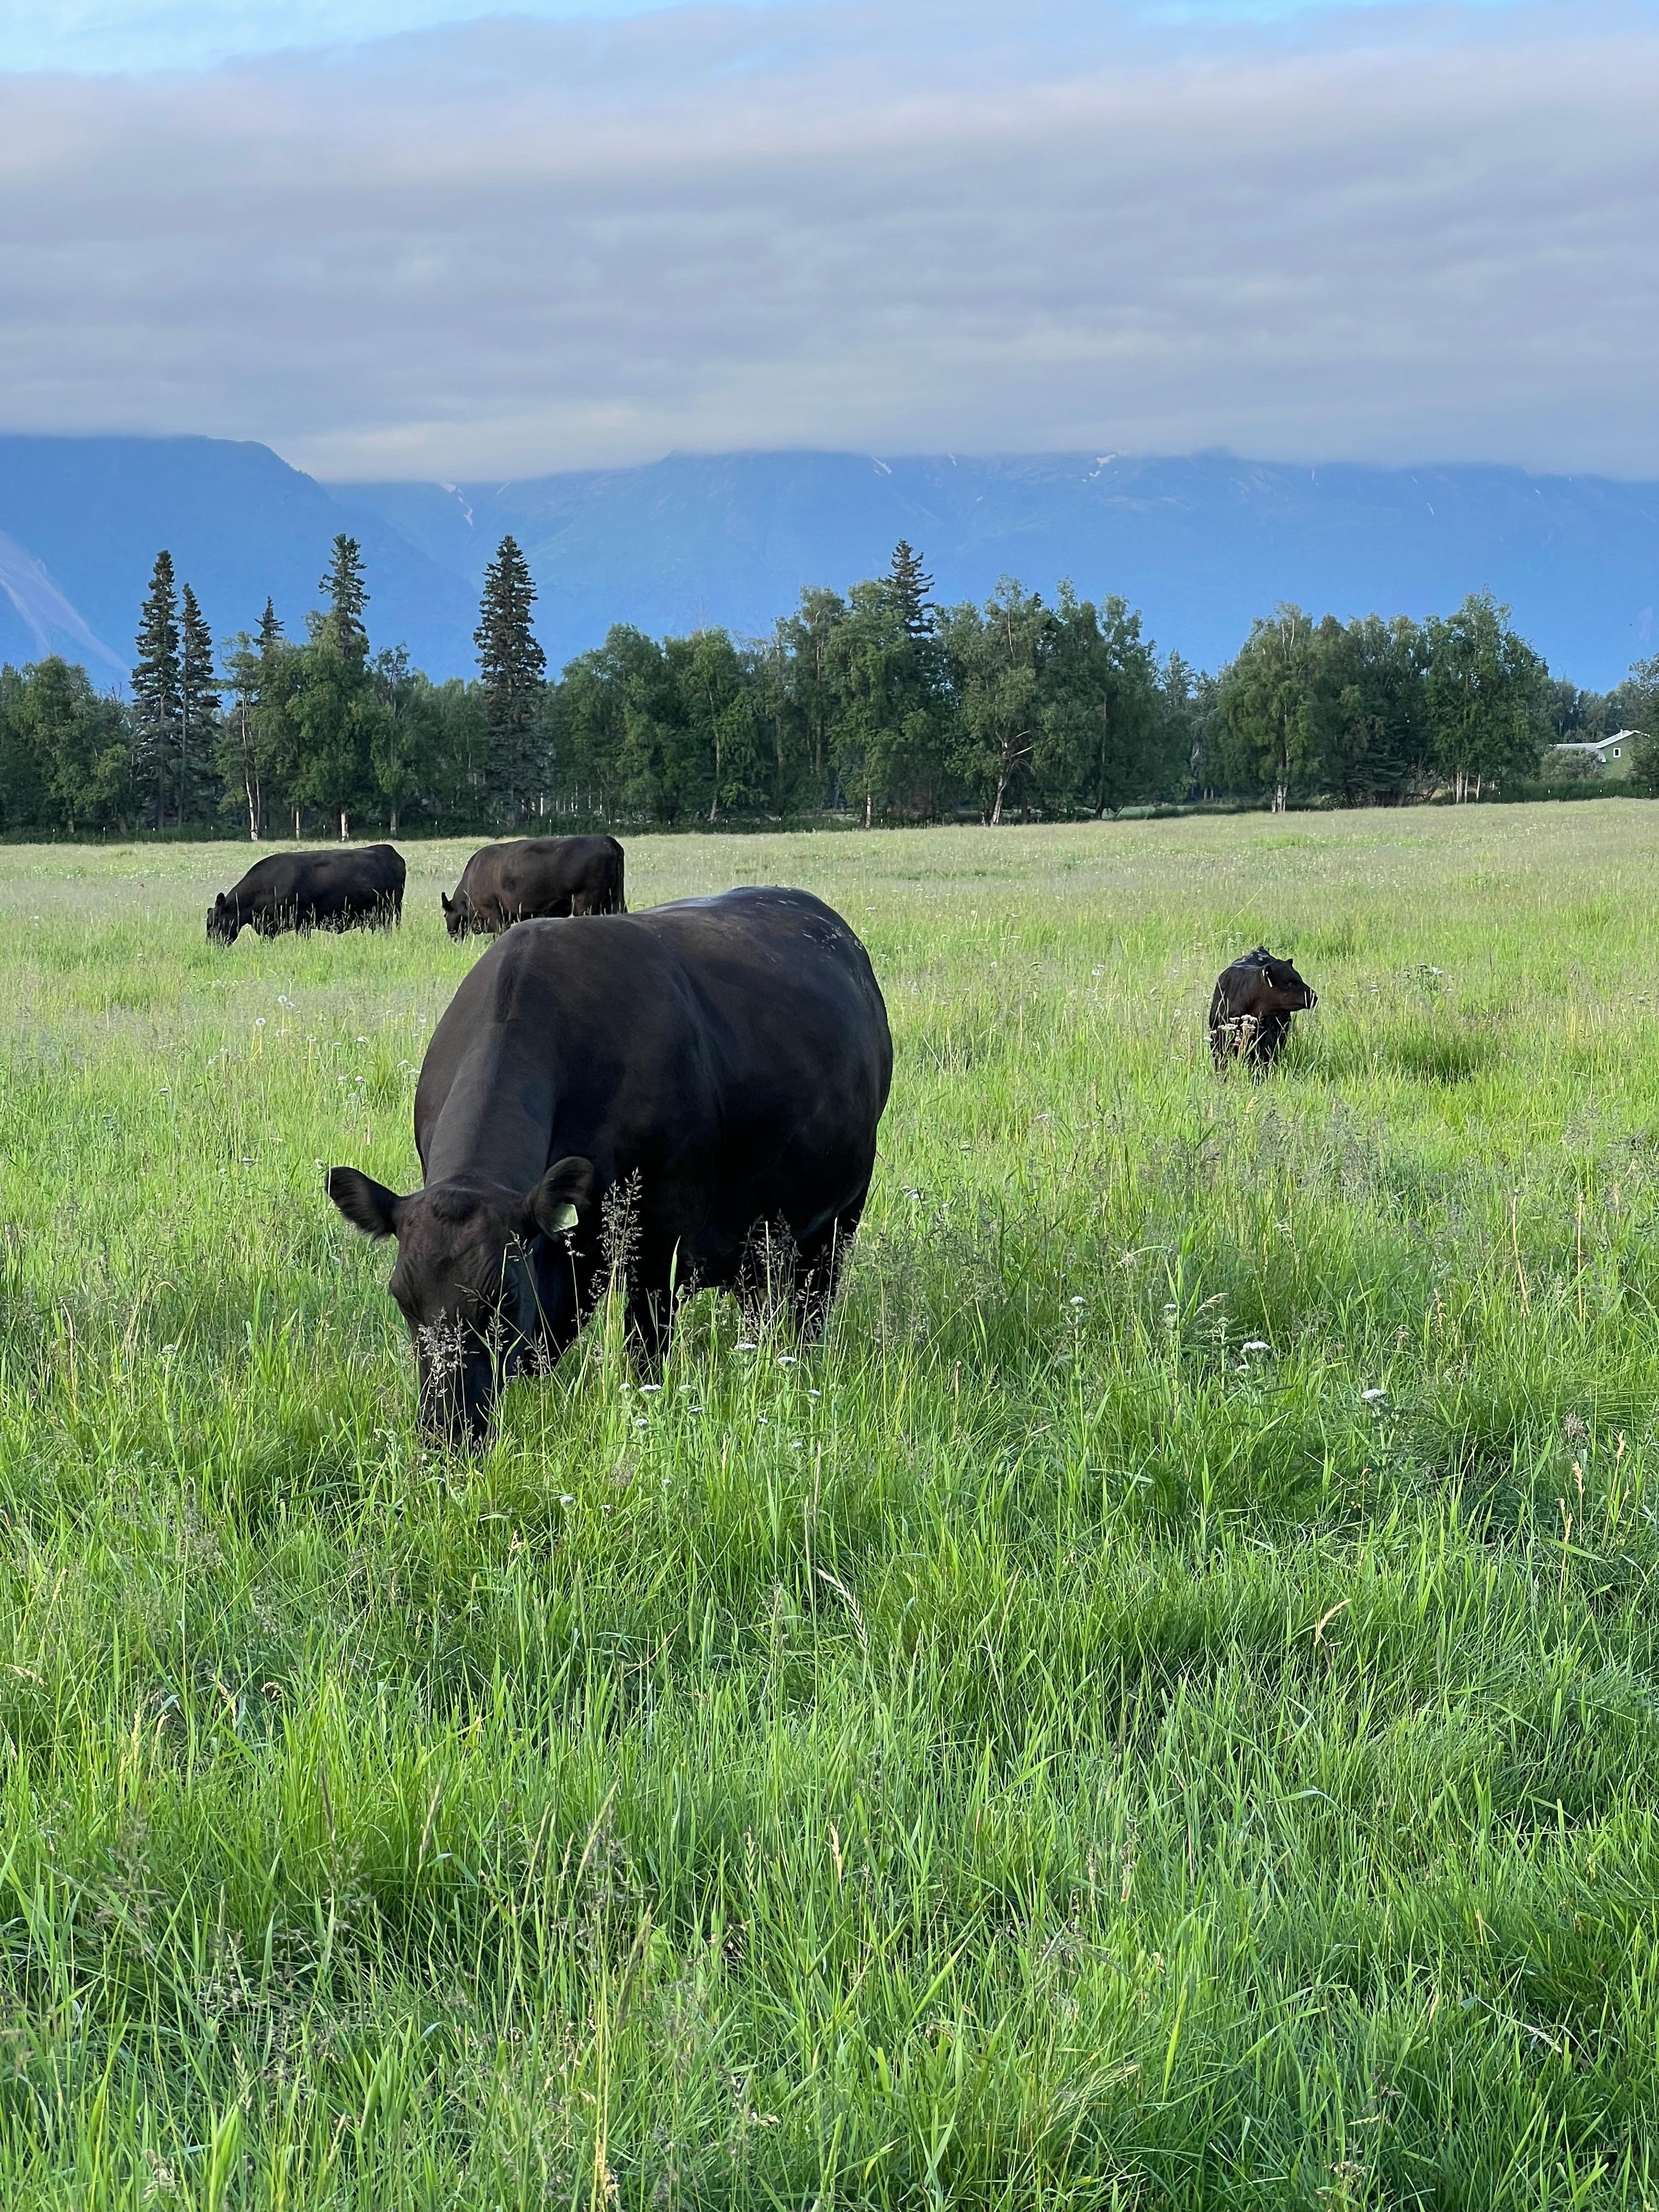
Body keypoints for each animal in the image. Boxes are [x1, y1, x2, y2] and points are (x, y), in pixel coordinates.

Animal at [208, 846, 405, 944]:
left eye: (215, 921)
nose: (211, 945)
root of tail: (389, 851)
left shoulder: (302, 921)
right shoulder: (268, 927)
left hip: (387, 913)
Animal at [326, 885, 892, 1443]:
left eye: (504, 1299)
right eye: (403, 1299)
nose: (448, 1431)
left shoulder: (661, 1246)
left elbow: (645, 1352)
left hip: (840, 1217)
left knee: (811, 1307)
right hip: (761, 1234)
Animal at [441, 836, 626, 939]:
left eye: (445, 914)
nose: (451, 934)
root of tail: (609, 842)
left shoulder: (493, 913)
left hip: (585, 904)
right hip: (616, 900)